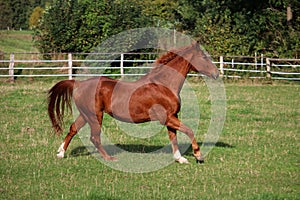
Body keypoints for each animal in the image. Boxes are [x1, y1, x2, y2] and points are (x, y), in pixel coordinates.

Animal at [48, 41, 219, 163]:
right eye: (204, 57)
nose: (216, 74)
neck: (164, 84)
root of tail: (79, 84)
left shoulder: (172, 117)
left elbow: (173, 137)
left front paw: (180, 158)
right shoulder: (167, 118)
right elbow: (189, 130)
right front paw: (198, 155)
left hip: (85, 115)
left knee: (73, 129)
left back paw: (60, 153)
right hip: (95, 115)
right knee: (94, 137)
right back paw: (109, 158)